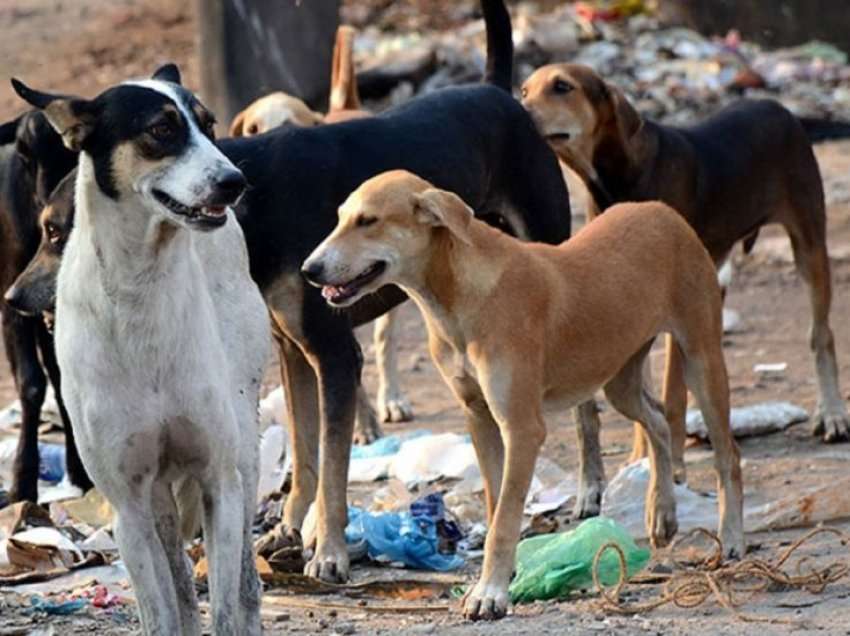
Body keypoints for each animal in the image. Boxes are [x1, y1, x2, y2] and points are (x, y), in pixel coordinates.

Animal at [14, 66, 270, 636]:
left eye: (209, 125)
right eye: (161, 129)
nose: (236, 182)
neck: (141, 290)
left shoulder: (219, 480)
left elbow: (225, 606)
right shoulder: (129, 505)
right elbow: (162, 610)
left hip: (243, 449)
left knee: (245, 582)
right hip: (156, 499)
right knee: (179, 581)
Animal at [304, 169, 744, 620]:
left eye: (368, 221)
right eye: (340, 218)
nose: (309, 270)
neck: (459, 296)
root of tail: (662, 211)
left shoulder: (522, 427)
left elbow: (504, 518)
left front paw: (490, 593)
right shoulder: (478, 416)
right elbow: (497, 503)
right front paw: (503, 576)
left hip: (702, 358)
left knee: (727, 455)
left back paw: (730, 539)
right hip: (618, 378)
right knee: (657, 420)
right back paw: (662, 512)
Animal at [520, 62, 844, 512]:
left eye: (562, 87)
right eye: (524, 89)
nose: (517, 108)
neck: (617, 177)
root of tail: (777, 105)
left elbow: (671, 396)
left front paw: (670, 467)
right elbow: (646, 400)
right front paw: (641, 462)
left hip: (808, 241)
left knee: (821, 333)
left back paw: (831, 413)